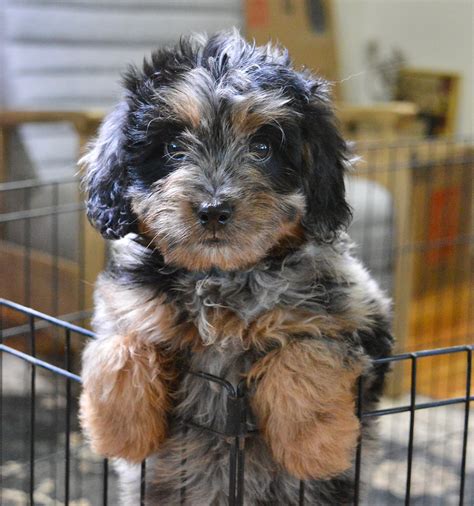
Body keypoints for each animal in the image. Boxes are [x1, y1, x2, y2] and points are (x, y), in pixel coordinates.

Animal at [80, 30, 392, 506]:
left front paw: (315, 447)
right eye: (173, 148)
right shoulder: (124, 301)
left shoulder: (361, 312)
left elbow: (306, 350)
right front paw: (120, 433)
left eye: (262, 148)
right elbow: (119, 343)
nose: (213, 210)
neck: (219, 275)